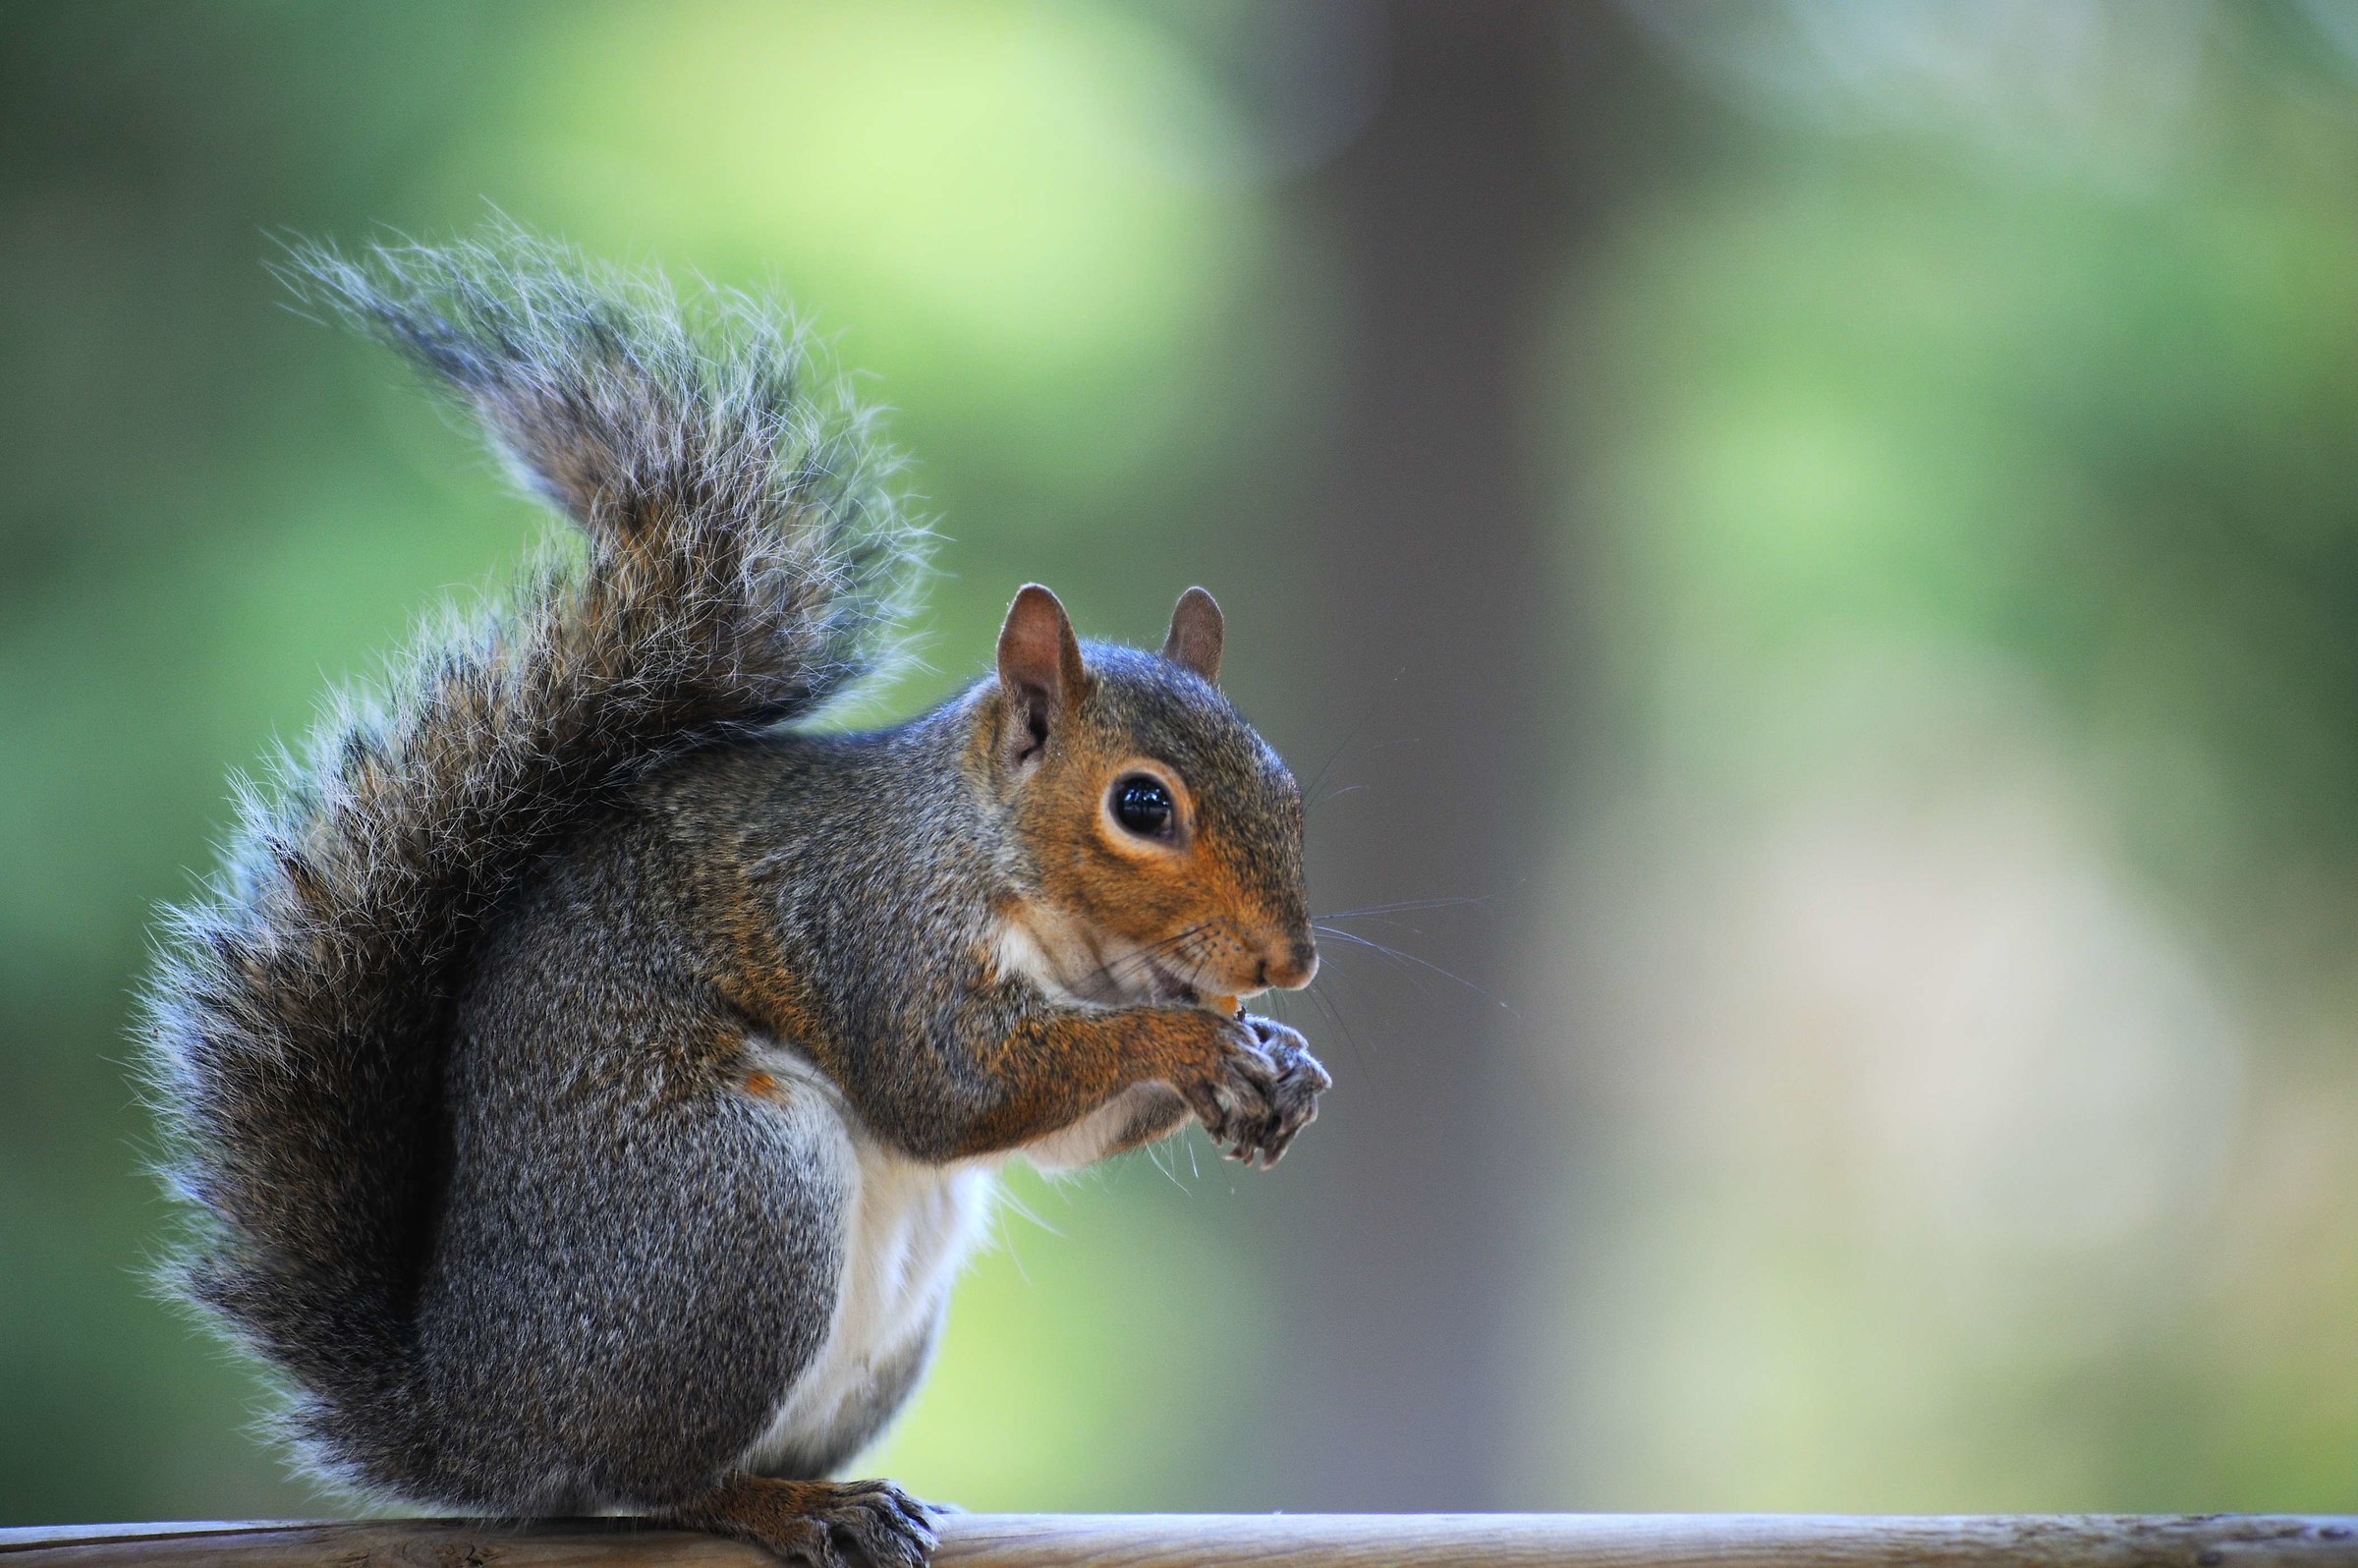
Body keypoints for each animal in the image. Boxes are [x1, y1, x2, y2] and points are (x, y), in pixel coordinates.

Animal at [140, 232, 1327, 1568]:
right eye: (1141, 806)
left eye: (1283, 778)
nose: (1288, 964)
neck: (1042, 909)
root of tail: (472, 1419)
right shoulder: (880, 929)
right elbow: (952, 1088)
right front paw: (1192, 1043)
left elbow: (1061, 1130)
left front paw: (1280, 1064)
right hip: (732, 1209)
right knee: (646, 1482)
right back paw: (787, 1508)